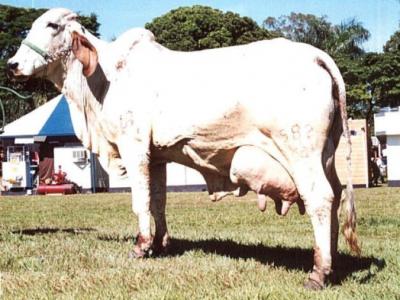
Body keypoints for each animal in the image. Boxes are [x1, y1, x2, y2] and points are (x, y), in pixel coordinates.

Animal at [7, 7, 360, 288]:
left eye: (52, 25)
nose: (12, 63)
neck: (103, 80)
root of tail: (316, 55)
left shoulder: (134, 148)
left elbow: (140, 202)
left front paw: (141, 246)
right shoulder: (157, 158)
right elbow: (158, 202)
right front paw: (161, 243)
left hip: (302, 152)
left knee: (321, 199)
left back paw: (319, 272)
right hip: (326, 156)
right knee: (336, 195)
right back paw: (334, 261)